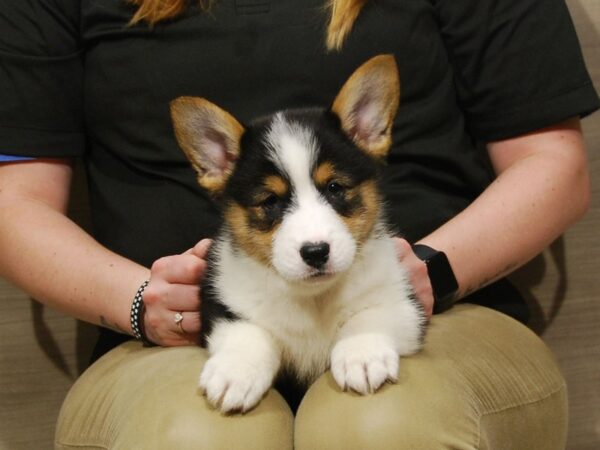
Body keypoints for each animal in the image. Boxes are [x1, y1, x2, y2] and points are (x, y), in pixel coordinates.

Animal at [170, 54, 426, 414]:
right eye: (270, 201)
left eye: (334, 188)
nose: (316, 252)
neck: (312, 299)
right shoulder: (224, 307)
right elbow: (249, 332)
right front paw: (235, 372)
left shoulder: (403, 303)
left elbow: (368, 317)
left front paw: (361, 354)